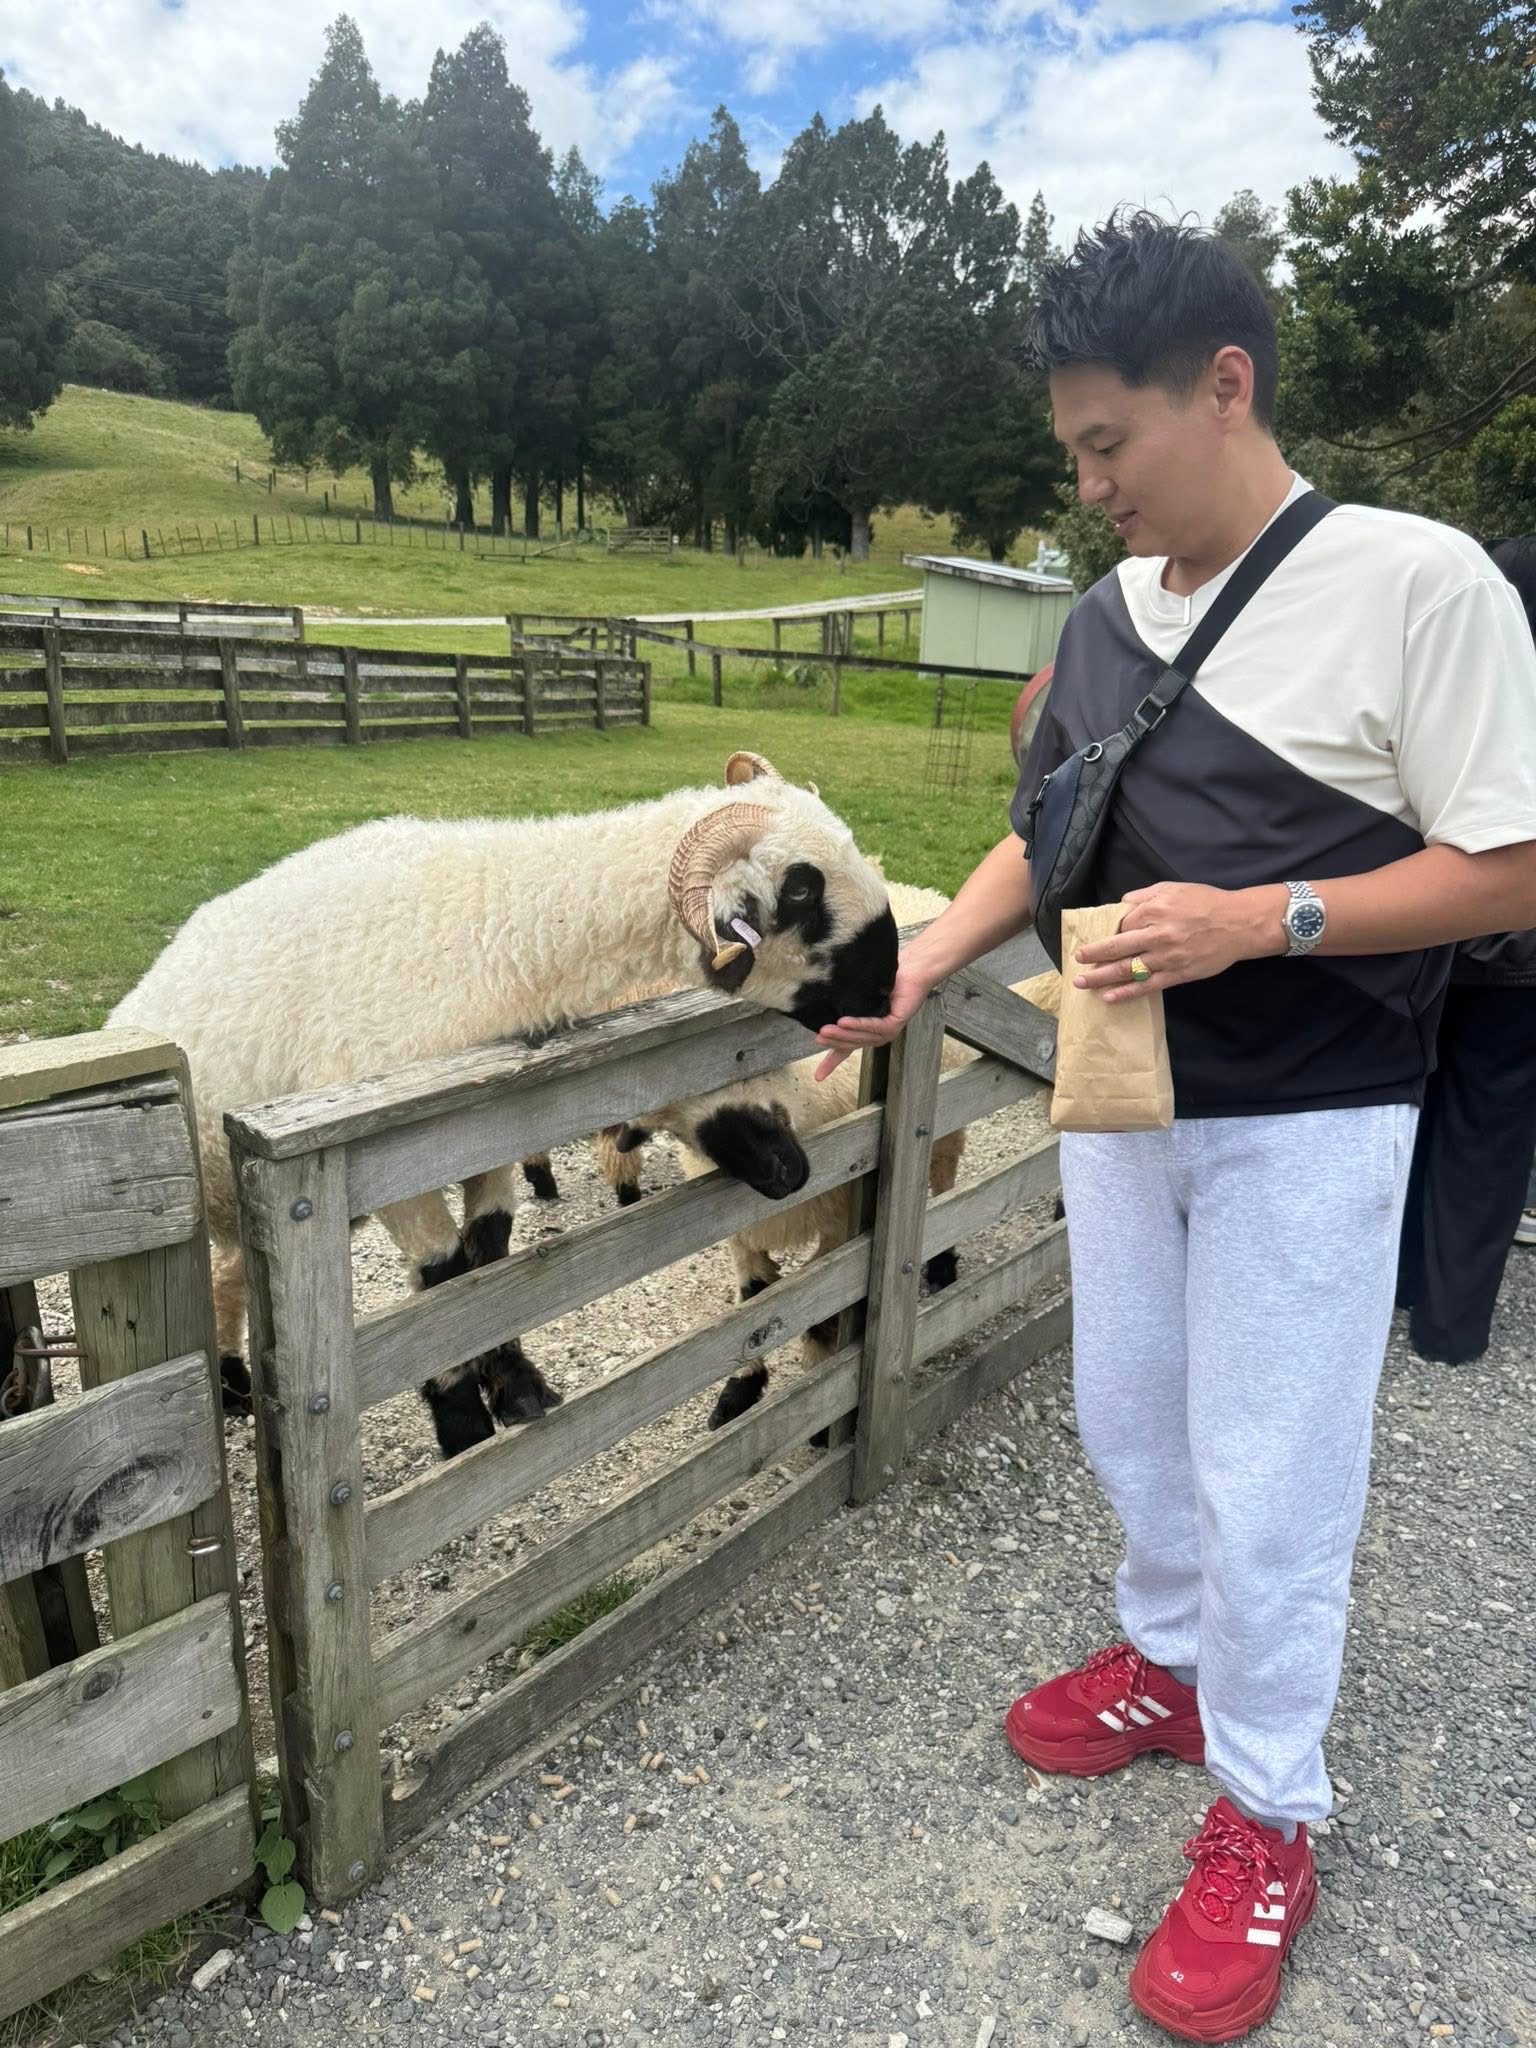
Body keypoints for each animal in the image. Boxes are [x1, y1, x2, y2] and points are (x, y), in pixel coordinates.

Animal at [107, 751, 898, 1459]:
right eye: (803, 893)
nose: (889, 997)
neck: (498, 933)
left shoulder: (487, 1139)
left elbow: (488, 1260)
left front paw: (516, 1389)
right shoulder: (394, 1170)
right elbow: (445, 1279)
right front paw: (464, 1429)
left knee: (230, 1272)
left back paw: (238, 1387)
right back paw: (232, 1386)